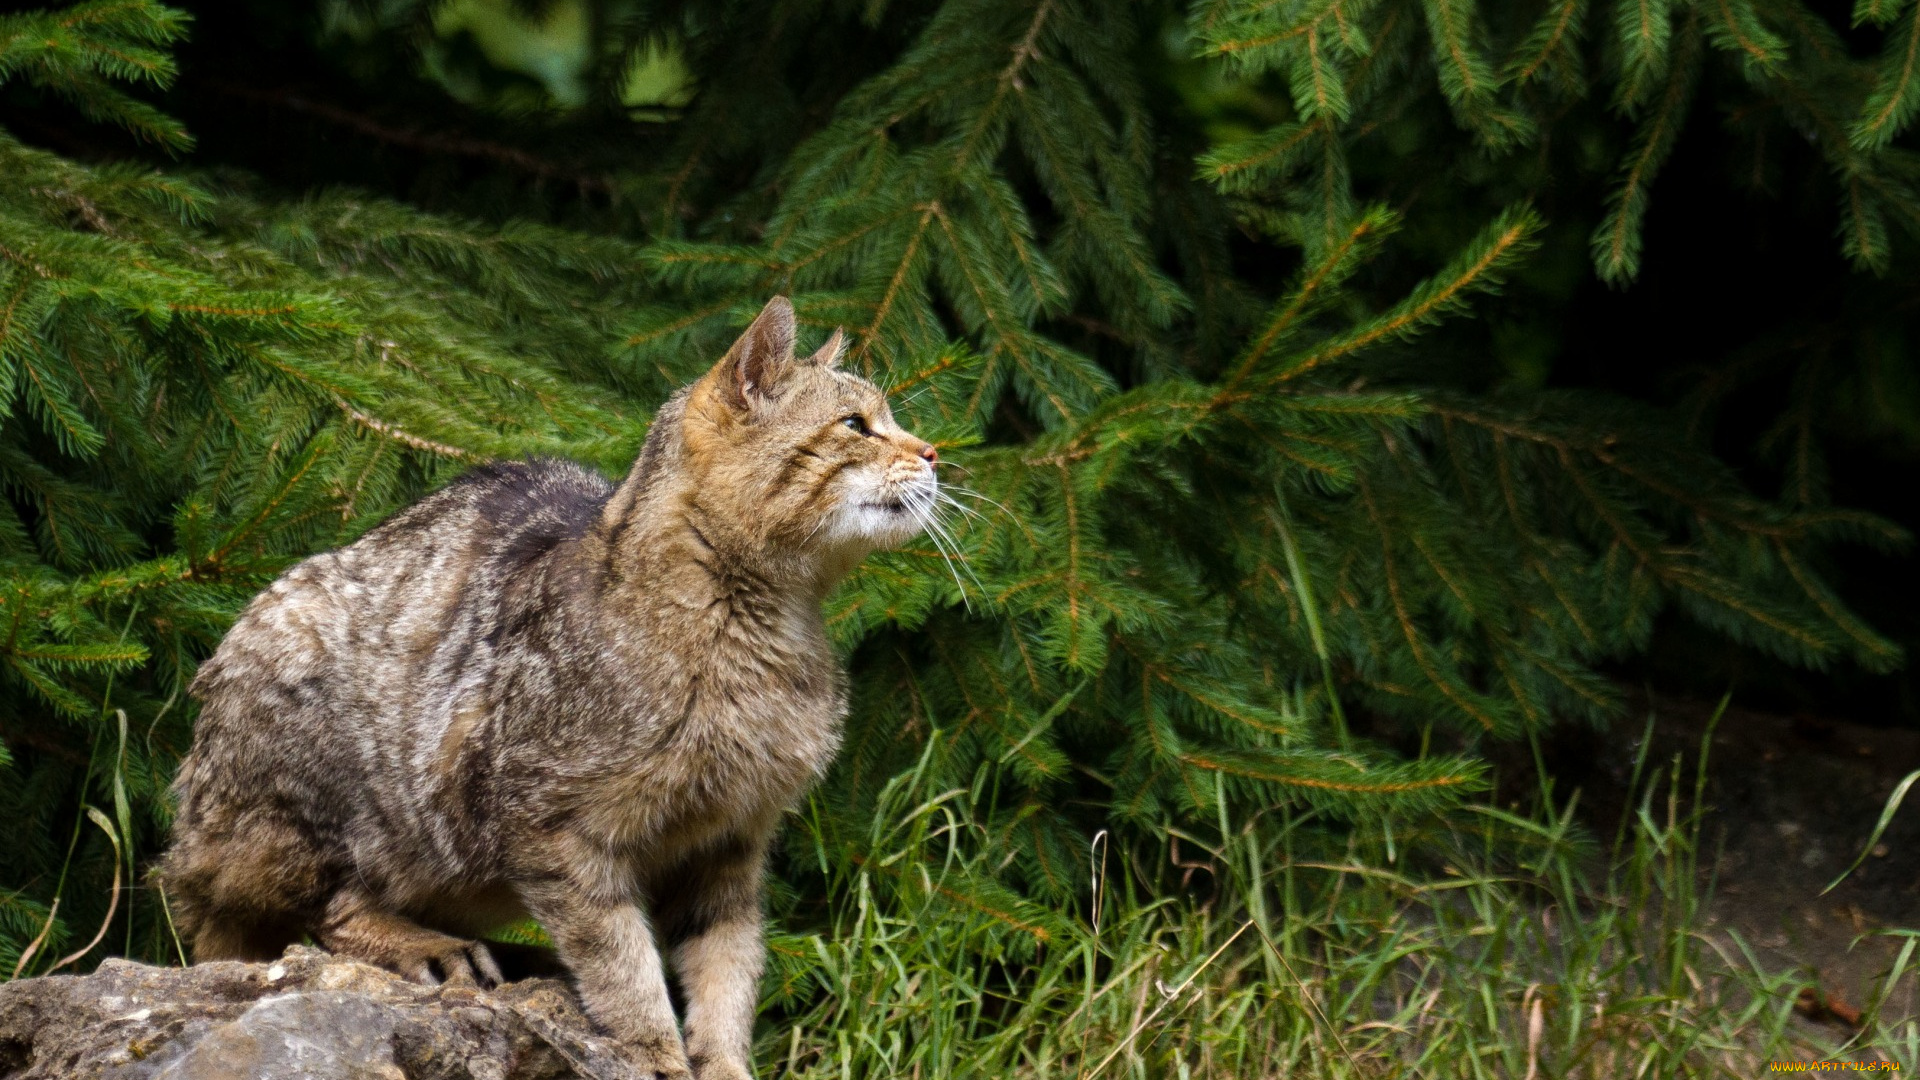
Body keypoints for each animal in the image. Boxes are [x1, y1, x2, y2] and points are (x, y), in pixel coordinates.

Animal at [161, 295, 940, 1076]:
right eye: (855, 425)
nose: (934, 453)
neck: (769, 632)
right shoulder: (554, 828)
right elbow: (621, 960)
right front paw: (653, 1048)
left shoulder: (731, 840)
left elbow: (728, 966)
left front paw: (721, 1060)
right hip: (300, 769)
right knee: (320, 909)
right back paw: (429, 947)